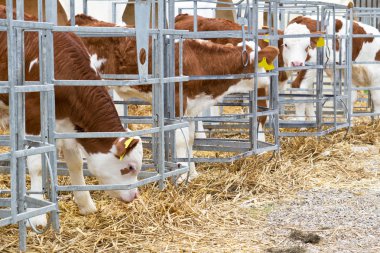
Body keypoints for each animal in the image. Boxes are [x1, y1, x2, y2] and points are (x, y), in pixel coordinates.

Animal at [0, 6, 142, 226]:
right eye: (129, 168)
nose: (134, 195)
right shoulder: (33, 115)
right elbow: (35, 164)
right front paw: (37, 215)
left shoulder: (68, 122)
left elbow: (75, 162)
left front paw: (85, 204)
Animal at [72, 13, 280, 181]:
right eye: (264, 62)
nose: (270, 81)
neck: (199, 61)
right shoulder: (178, 104)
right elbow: (180, 139)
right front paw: (181, 177)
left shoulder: (192, 107)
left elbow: (190, 139)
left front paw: (193, 174)